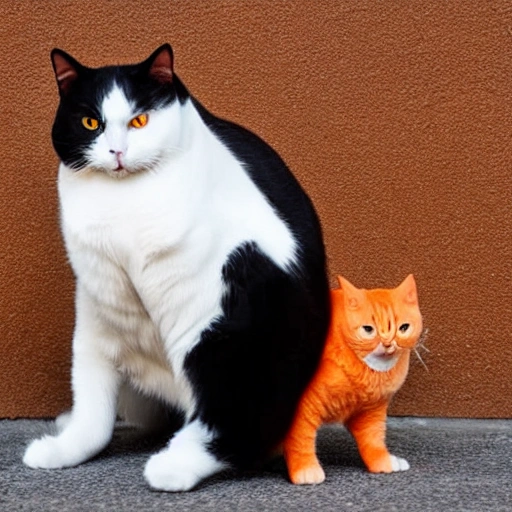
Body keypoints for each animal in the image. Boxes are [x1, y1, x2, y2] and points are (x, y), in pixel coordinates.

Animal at [282, 274, 422, 482]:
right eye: (368, 330)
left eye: (403, 328)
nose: (387, 343)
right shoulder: (301, 409)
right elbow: (301, 440)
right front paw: (306, 469)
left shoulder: (370, 413)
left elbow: (374, 441)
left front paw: (383, 462)